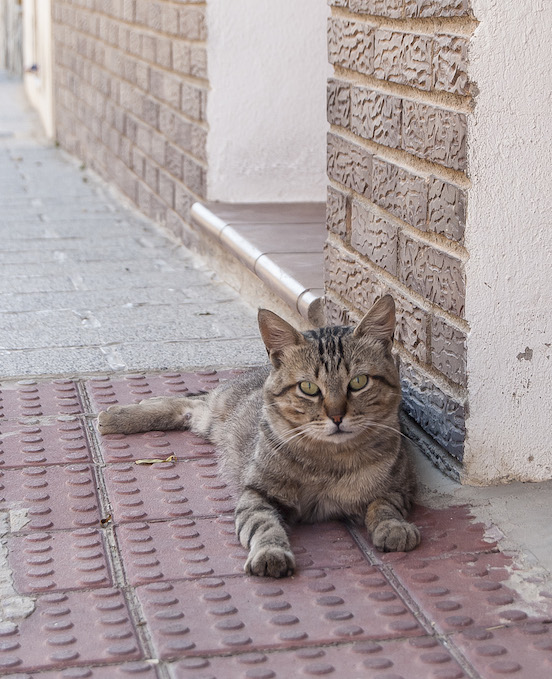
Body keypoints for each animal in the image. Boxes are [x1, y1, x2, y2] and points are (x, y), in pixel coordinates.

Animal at [97, 294, 420, 576]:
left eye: (359, 382)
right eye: (308, 388)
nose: (337, 416)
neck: (330, 460)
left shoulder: (398, 489)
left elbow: (383, 507)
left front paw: (394, 528)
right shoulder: (257, 493)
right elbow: (263, 526)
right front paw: (270, 553)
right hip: (214, 412)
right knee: (187, 403)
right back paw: (117, 415)